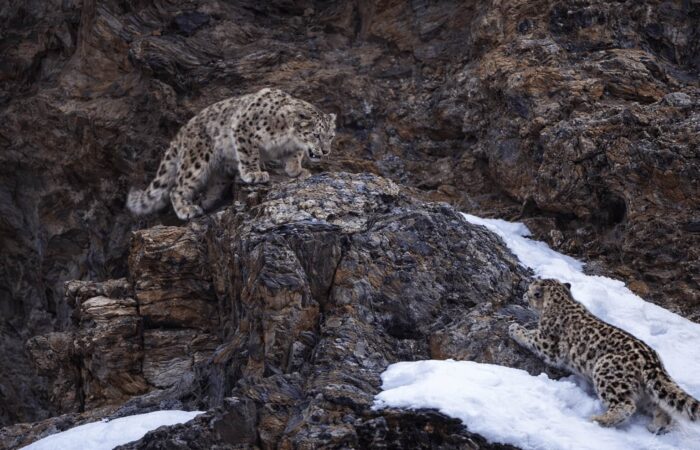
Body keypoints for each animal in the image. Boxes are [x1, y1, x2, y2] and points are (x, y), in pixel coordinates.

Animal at [127, 88, 336, 220]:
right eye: (316, 135)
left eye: (331, 136)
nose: (326, 151)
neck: (286, 136)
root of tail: (183, 131)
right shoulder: (244, 127)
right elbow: (249, 153)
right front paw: (254, 173)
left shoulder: (291, 147)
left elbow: (295, 154)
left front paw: (296, 170)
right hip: (196, 161)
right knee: (177, 187)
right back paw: (187, 209)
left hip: (219, 170)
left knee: (214, 184)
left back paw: (205, 202)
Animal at [509, 278, 699, 434]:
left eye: (530, 290)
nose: (523, 294)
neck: (562, 300)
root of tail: (653, 361)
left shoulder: (548, 344)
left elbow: (530, 336)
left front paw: (514, 328)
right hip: (647, 390)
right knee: (662, 406)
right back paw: (657, 426)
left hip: (606, 372)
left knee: (625, 405)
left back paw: (598, 419)